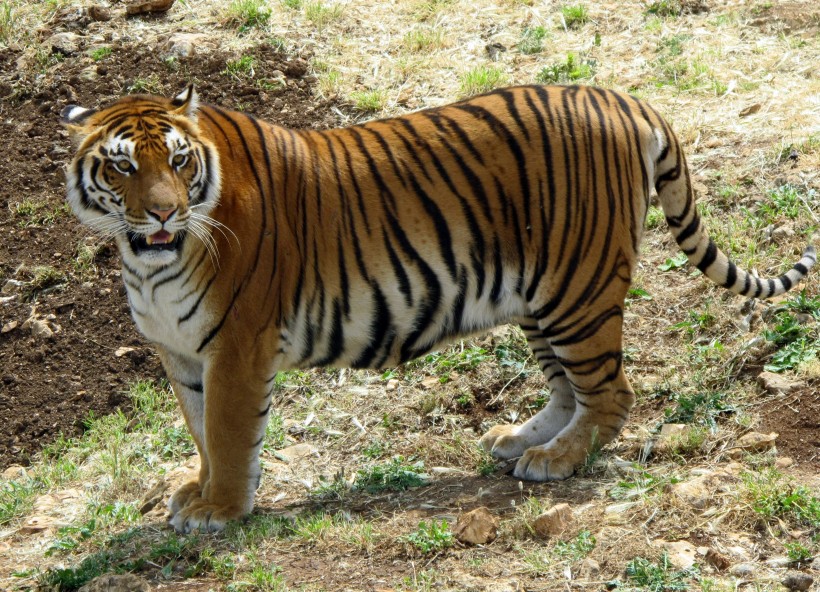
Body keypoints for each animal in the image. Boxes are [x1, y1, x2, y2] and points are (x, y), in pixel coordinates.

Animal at [62, 83, 812, 532]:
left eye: (179, 162)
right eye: (123, 165)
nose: (165, 212)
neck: (148, 261)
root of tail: (624, 98)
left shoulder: (237, 346)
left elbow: (225, 430)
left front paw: (220, 509)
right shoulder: (183, 352)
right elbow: (198, 431)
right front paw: (199, 491)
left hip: (578, 288)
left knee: (611, 391)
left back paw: (557, 460)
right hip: (541, 294)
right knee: (568, 387)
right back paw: (520, 441)